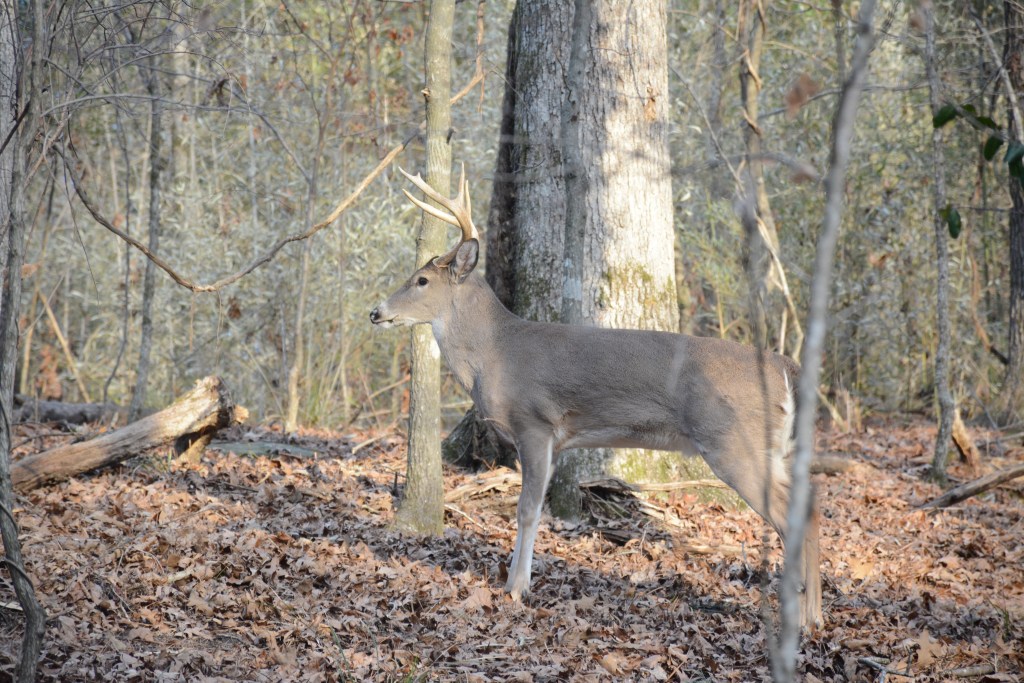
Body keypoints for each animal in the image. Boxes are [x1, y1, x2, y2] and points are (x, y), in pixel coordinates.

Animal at [370, 166, 822, 629]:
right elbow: (539, 508)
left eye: (421, 280)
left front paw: (515, 588)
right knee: (810, 507)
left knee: (792, 516)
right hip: (766, 448)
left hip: (733, 441)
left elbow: (526, 509)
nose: (376, 312)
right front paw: (519, 580)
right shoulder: (556, 440)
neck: (495, 353)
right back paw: (815, 614)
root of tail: (785, 368)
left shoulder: (534, 422)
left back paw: (804, 618)